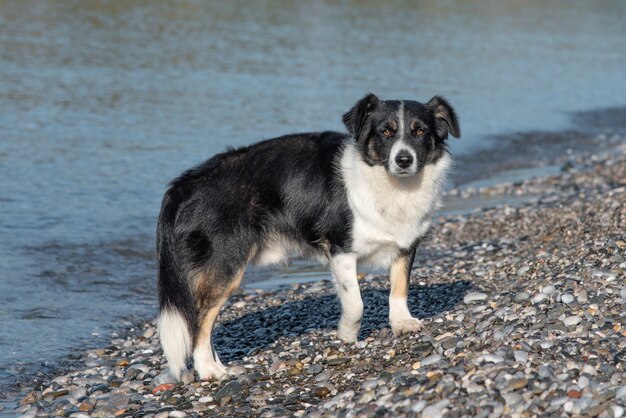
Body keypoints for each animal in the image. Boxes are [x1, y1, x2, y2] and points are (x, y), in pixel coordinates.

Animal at [156, 93, 458, 380]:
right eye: (386, 131)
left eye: (420, 131)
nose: (404, 160)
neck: (391, 183)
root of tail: (184, 184)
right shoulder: (340, 248)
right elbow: (356, 303)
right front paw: (347, 335)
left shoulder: (405, 245)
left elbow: (400, 288)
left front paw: (402, 323)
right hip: (226, 262)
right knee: (200, 319)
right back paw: (209, 369)